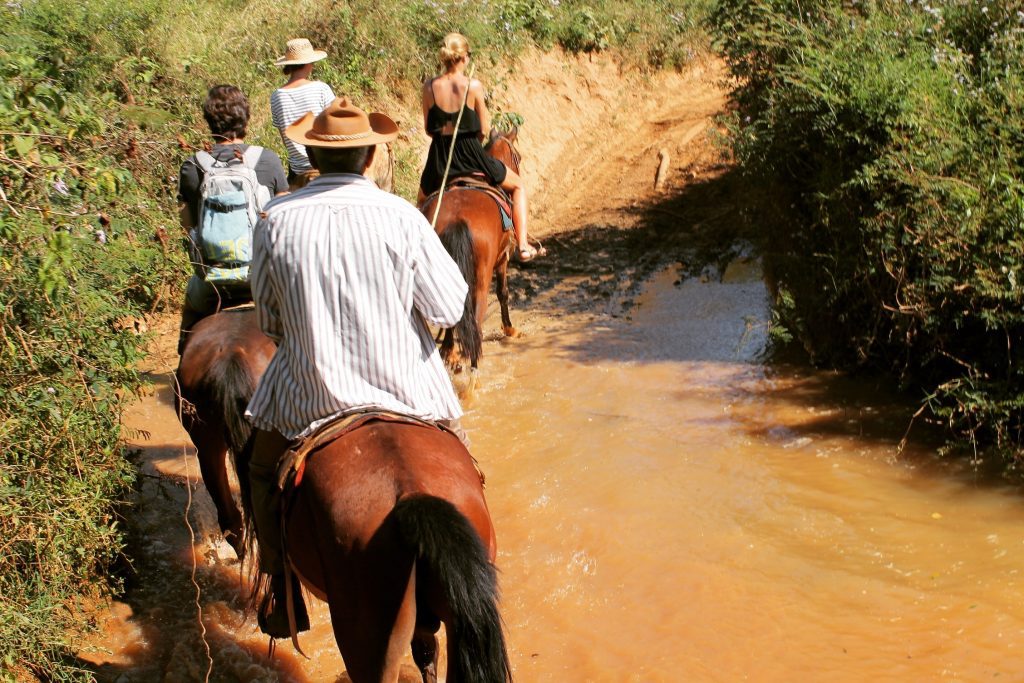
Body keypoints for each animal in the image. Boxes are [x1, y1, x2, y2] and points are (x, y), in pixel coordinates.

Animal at [419, 127, 524, 374]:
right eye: (518, 157)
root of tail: (457, 219)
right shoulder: (502, 260)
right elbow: (503, 292)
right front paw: (509, 329)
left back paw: (449, 352)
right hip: (482, 278)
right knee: (476, 318)